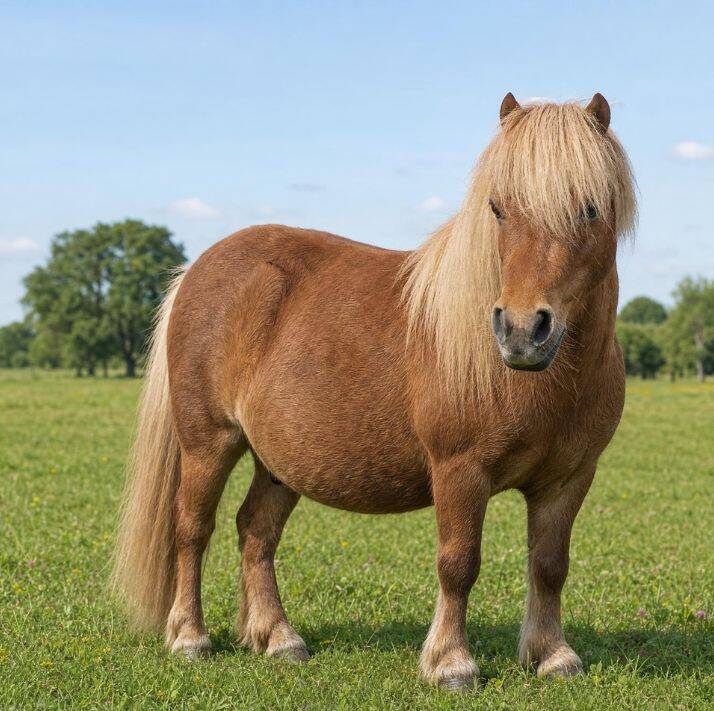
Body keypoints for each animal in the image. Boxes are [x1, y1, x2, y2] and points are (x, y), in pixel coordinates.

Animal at [111, 93, 636, 692]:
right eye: (498, 208)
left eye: (590, 208)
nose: (523, 331)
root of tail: (195, 271)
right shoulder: (459, 472)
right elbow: (459, 563)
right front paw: (451, 663)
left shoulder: (569, 478)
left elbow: (549, 564)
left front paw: (552, 655)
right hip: (208, 444)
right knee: (193, 528)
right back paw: (190, 638)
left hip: (280, 463)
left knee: (256, 531)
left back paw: (277, 638)